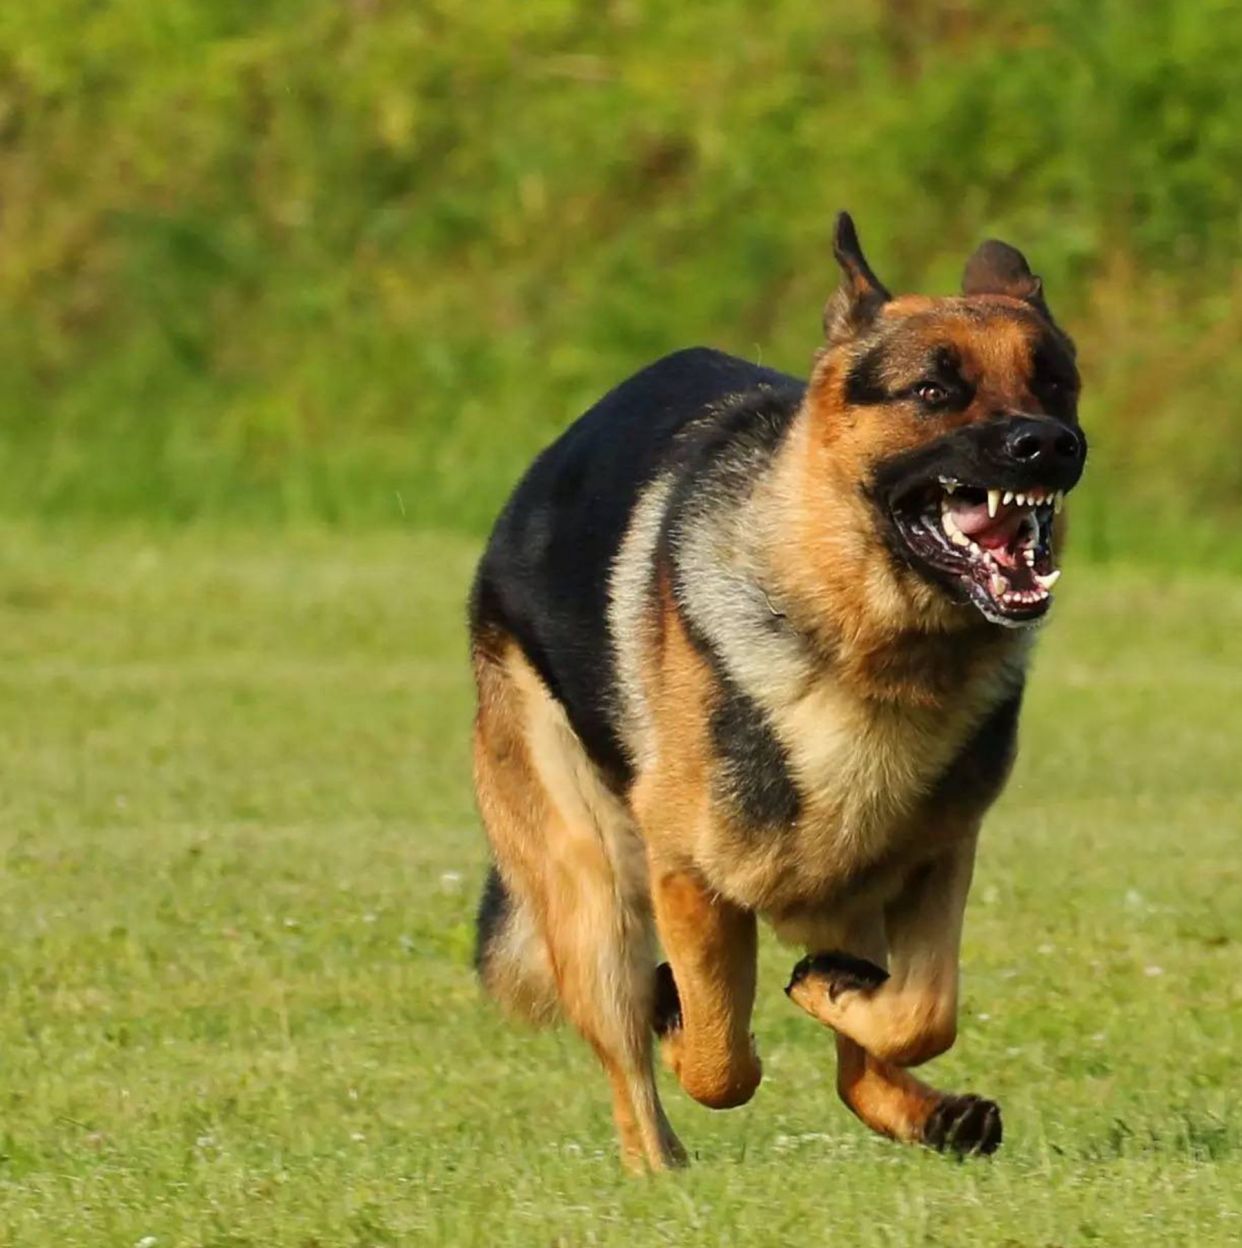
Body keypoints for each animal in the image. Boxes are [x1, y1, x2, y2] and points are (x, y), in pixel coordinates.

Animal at [466, 214, 1088, 1168]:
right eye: (934, 391)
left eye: (1054, 381)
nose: (1049, 444)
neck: (868, 650)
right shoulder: (690, 880)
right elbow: (721, 1062)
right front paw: (687, 1026)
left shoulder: (937, 857)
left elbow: (923, 1015)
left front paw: (838, 998)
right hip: (592, 888)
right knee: (631, 1063)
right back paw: (661, 1157)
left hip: (839, 892)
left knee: (860, 1058)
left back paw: (921, 1101)